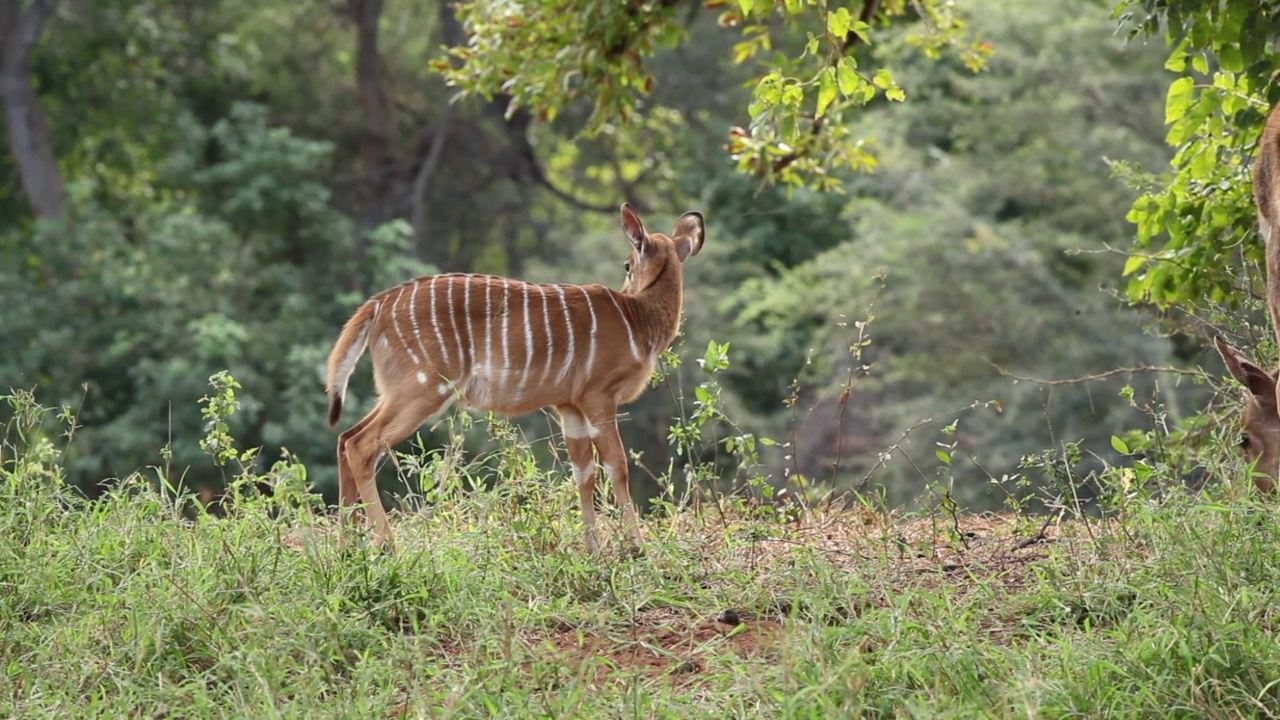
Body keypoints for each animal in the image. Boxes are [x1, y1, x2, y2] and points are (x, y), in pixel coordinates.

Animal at [325, 202, 706, 548]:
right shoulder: (598, 395)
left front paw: (594, 550)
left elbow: (583, 474)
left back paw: (347, 548)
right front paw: (637, 547)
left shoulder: (569, 405)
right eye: (627, 263)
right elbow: (617, 466)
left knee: (345, 437)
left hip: (397, 389)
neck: (637, 319)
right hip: (424, 387)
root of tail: (377, 305)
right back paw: (387, 545)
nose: (626, 283)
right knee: (362, 444)